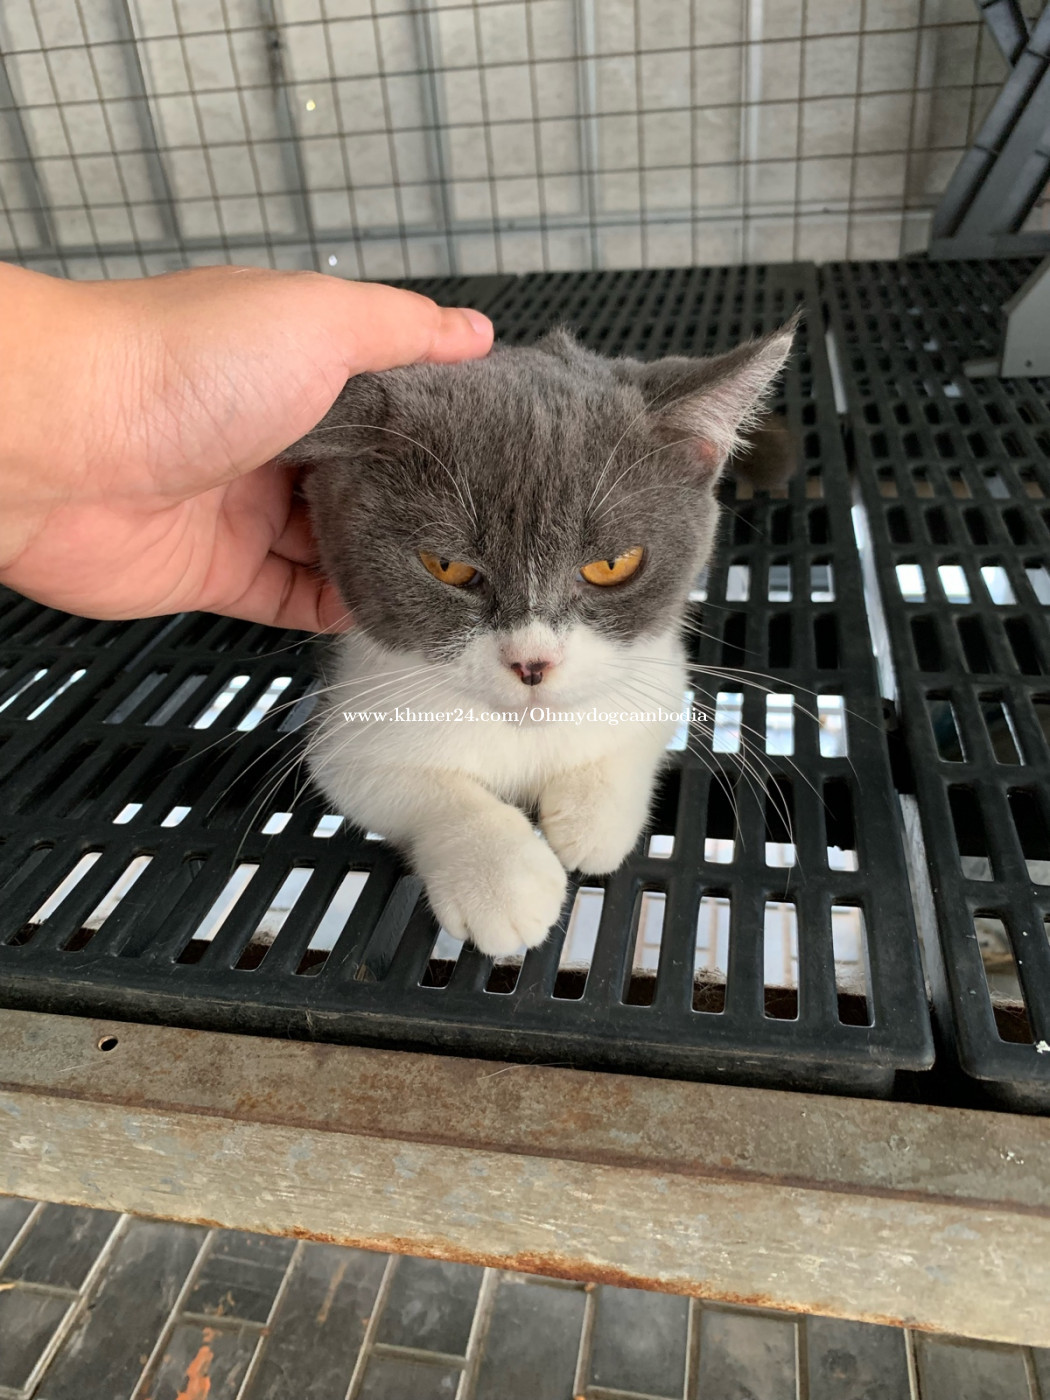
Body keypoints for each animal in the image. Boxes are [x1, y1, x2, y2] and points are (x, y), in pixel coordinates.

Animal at [281, 320, 796, 957]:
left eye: (613, 565)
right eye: (447, 566)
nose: (533, 662)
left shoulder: (658, 658)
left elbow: (638, 721)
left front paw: (592, 819)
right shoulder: (350, 708)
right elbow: (400, 785)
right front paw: (502, 878)